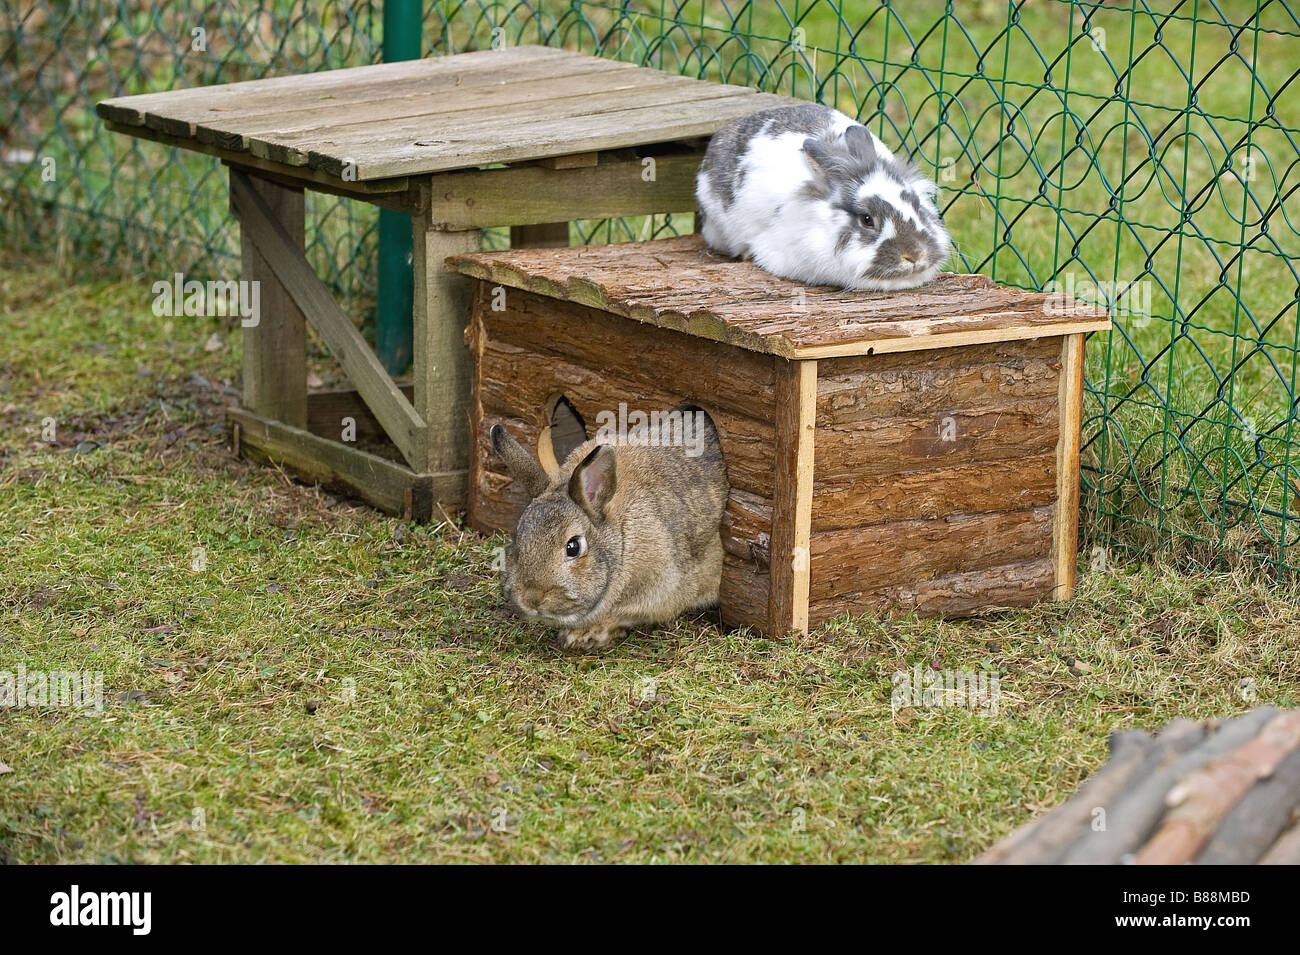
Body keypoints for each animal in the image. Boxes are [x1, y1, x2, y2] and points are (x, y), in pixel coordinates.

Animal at [489, 411, 729, 650]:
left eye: (573, 547)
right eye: (518, 539)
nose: (532, 599)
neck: (620, 538)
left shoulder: (663, 586)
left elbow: (624, 614)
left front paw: (583, 635)